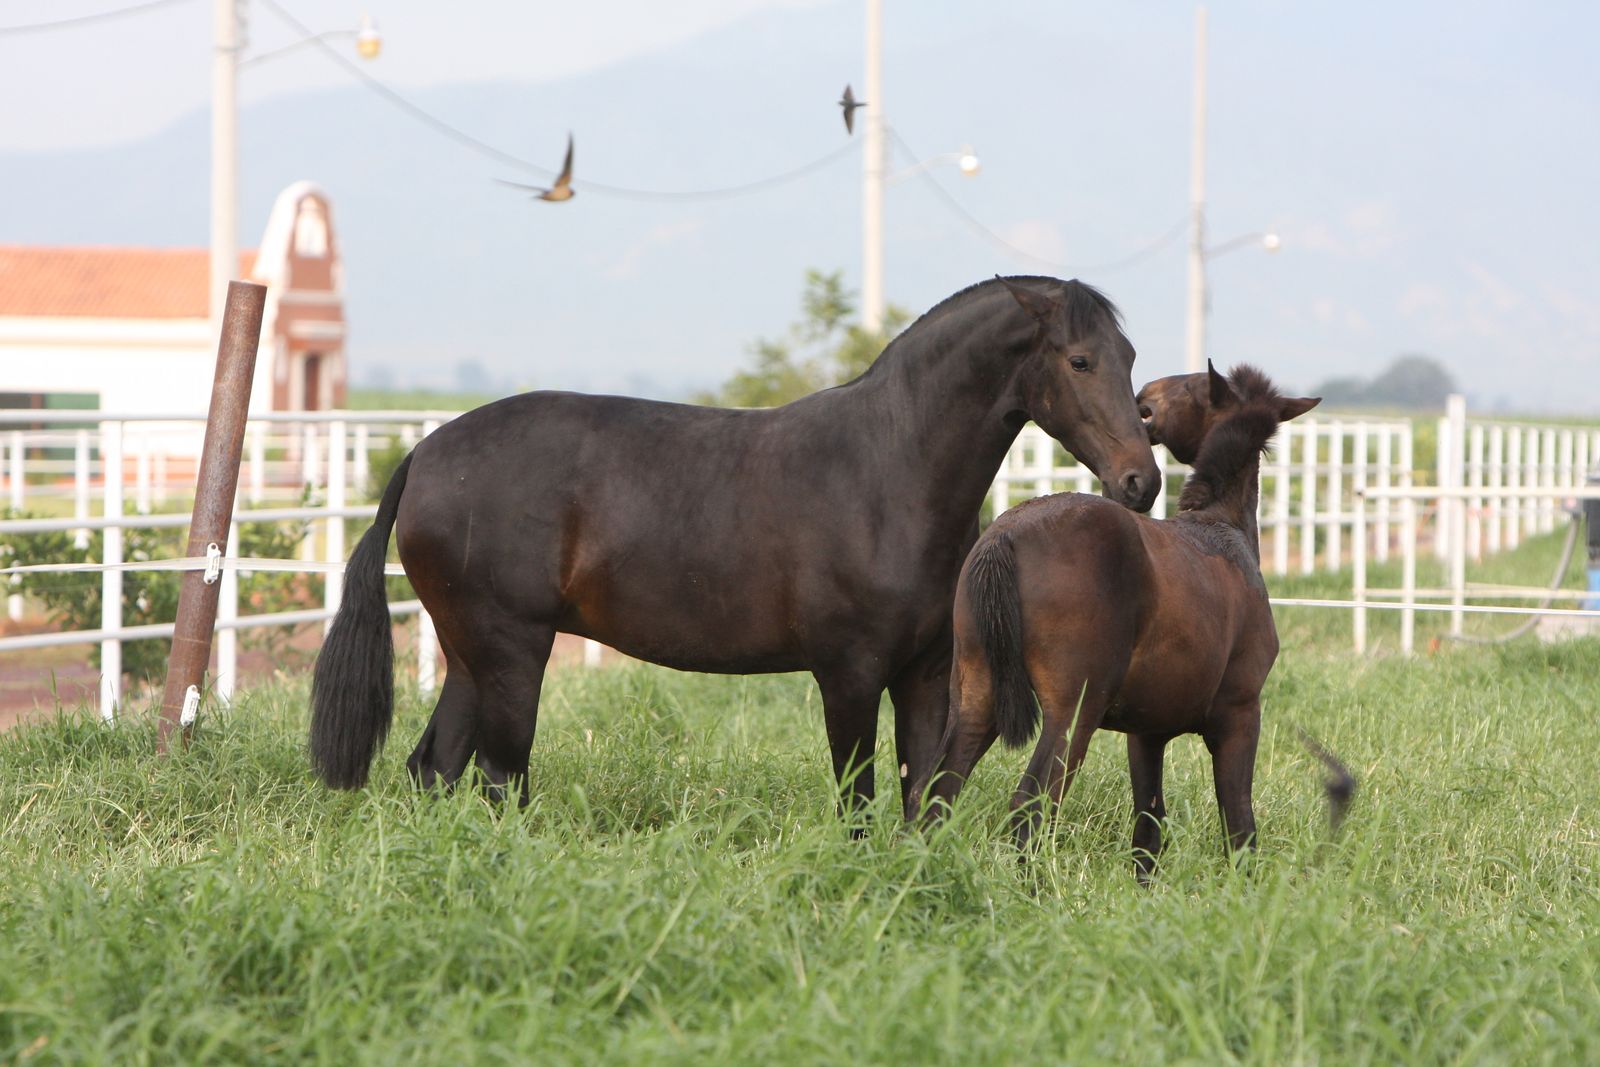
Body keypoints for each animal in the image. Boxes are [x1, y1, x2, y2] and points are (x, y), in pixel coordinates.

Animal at [309, 276, 1162, 819]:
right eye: (1079, 360)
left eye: (1130, 360)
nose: (1141, 481)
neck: (887, 467)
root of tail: (425, 453)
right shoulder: (849, 674)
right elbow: (858, 800)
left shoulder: (924, 676)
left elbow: (921, 795)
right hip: (512, 651)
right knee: (497, 775)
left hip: (469, 654)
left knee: (437, 766)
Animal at [914, 362, 1318, 877]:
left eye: (1192, 387)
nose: (1144, 396)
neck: (1222, 530)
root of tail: (1006, 533)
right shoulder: (1240, 715)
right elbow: (1239, 823)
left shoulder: (1146, 733)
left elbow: (1149, 828)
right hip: (1072, 714)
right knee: (1030, 804)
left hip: (976, 698)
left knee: (934, 792)